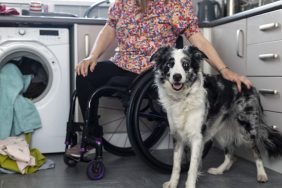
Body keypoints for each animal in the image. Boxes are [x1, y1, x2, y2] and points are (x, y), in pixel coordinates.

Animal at [152, 46, 282, 188]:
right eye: (170, 64)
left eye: (185, 65)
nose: (177, 77)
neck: (183, 98)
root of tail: (248, 84)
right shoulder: (178, 136)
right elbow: (176, 164)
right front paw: (172, 183)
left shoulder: (197, 138)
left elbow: (192, 167)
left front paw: (190, 184)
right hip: (219, 130)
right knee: (231, 155)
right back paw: (219, 170)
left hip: (247, 127)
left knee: (256, 152)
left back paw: (262, 175)